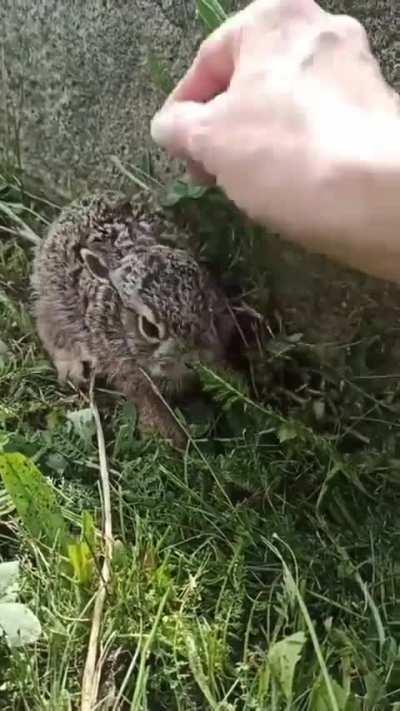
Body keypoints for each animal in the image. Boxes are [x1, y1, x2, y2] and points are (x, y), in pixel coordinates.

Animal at [31, 191, 235, 448]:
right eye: (149, 328)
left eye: (207, 303)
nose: (194, 360)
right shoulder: (124, 365)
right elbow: (145, 398)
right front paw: (168, 436)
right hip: (54, 300)